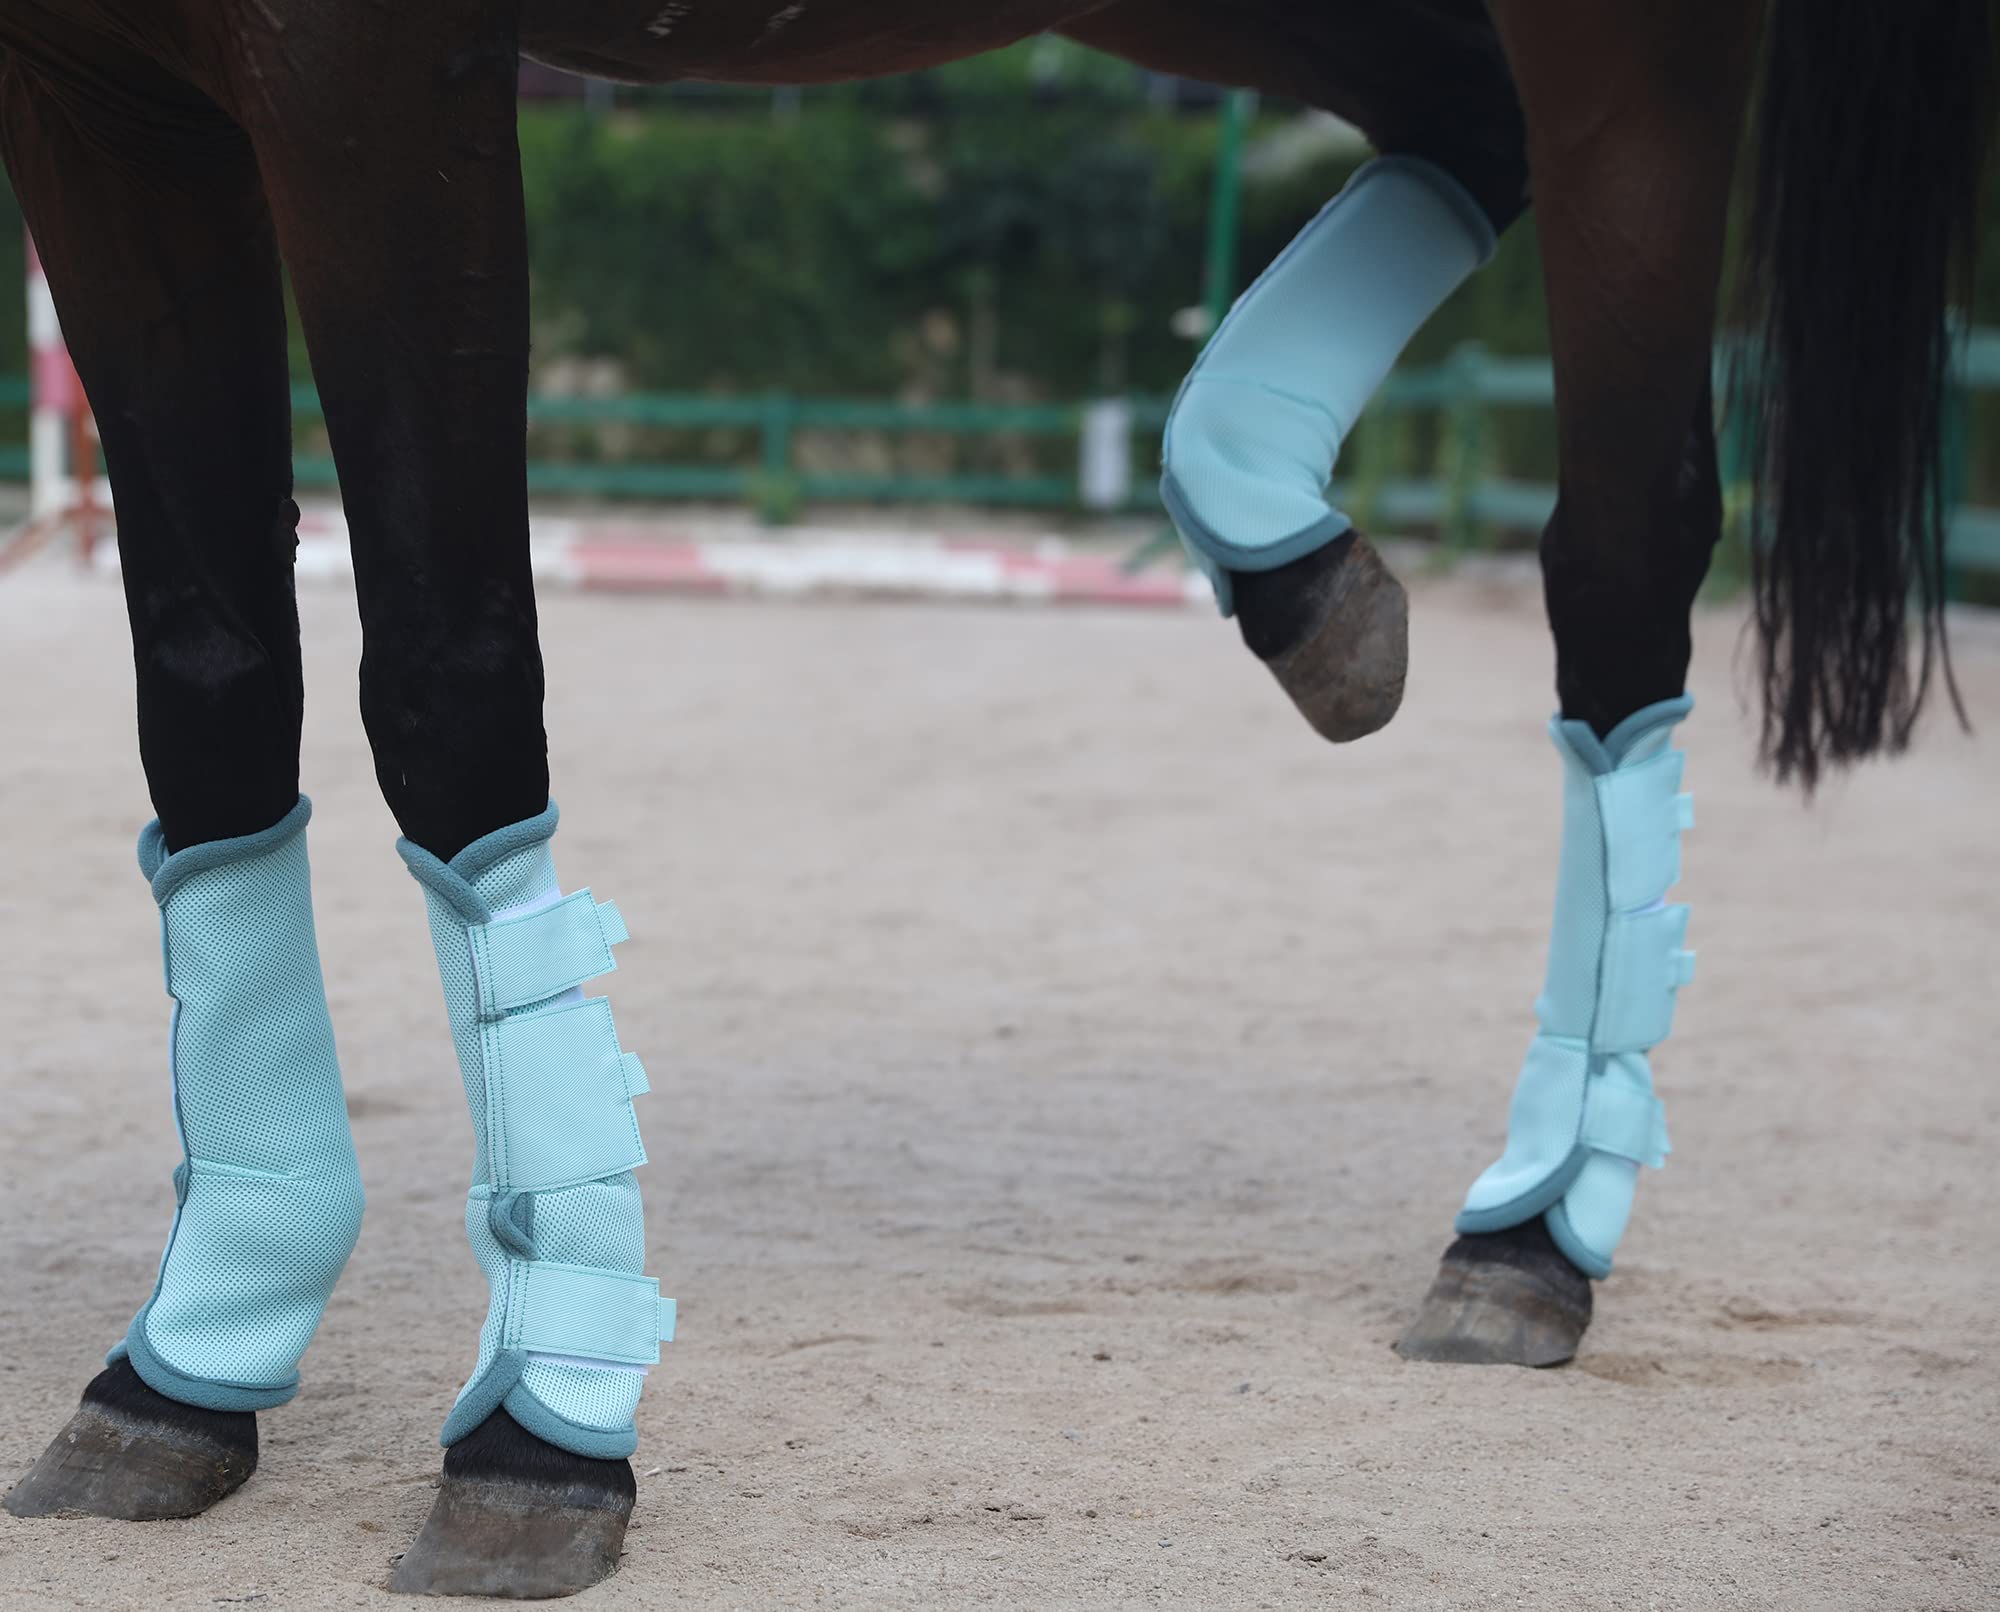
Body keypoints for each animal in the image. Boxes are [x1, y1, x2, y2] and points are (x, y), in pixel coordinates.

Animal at [1, 0, 1989, 1598]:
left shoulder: (368, 71)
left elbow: (445, 673)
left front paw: (539, 1433)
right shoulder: (103, 98)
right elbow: (208, 682)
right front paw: (195, 1353)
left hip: (1636, 57)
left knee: (1626, 548)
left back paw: (1537, 1225)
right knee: (1462, 116)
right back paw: (1284, 546)